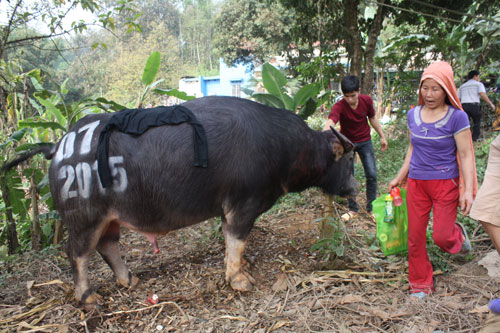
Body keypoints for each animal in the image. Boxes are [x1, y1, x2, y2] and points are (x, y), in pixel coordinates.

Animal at [3, 96, 356, 304]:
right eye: (348, 160)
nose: (353, 188)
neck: (284, 148)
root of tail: (59, 145)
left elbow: (232, 244)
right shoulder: (242, 205)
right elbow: (237, 242)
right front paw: (239, 279)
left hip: (110, 218)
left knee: (108, 246)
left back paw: (128, 279)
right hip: (83, 218)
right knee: (76, 254)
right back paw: (88, 296)